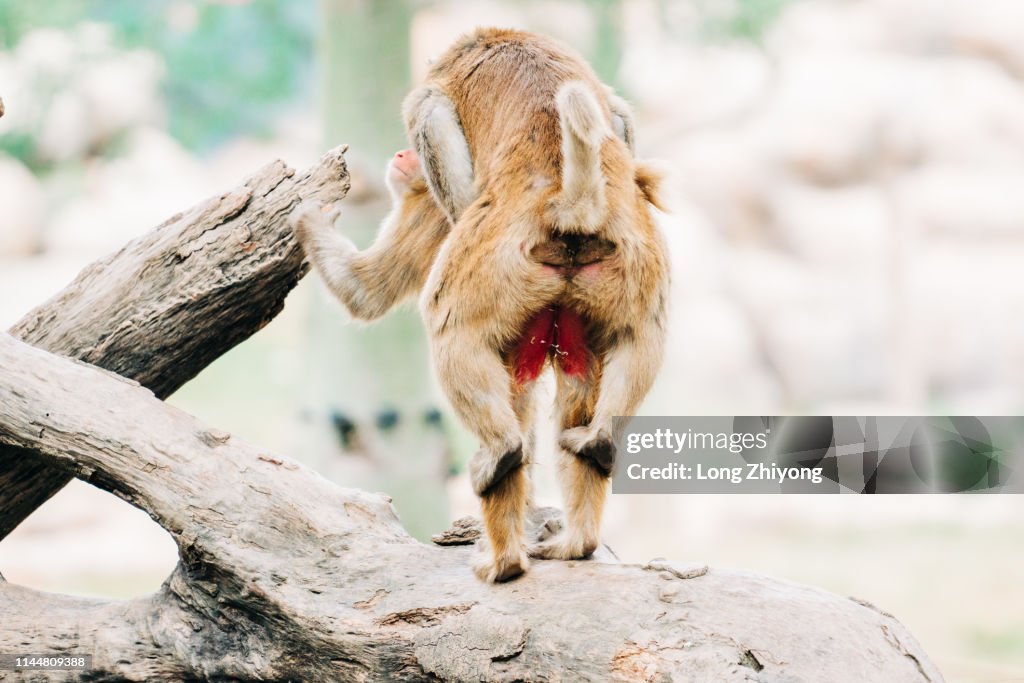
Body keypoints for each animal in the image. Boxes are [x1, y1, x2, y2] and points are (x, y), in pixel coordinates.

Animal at [291, 28, 669, 583]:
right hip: (623, 267)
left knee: (458, 336)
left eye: (408, 148)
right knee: (617, 351)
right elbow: (619, 116)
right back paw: (586, 497)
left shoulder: (428, 141)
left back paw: (505, 529)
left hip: (492, 262)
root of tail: (569, 204)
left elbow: (370, 289)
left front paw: (307, 219)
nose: (401, 156)